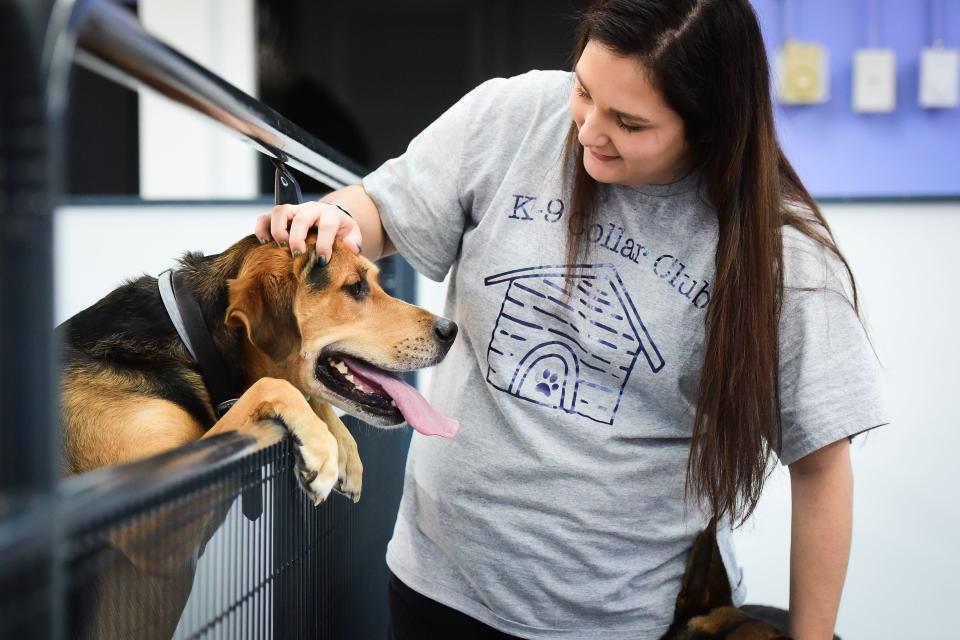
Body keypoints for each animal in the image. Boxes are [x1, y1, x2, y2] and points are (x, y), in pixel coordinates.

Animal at [59, 234, 458, 636]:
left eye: (373, 281)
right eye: (355, 287)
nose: (450, 331)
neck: (193, 343)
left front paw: (344, 451)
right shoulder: (154, 517)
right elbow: (273, 385)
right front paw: (323, 450)